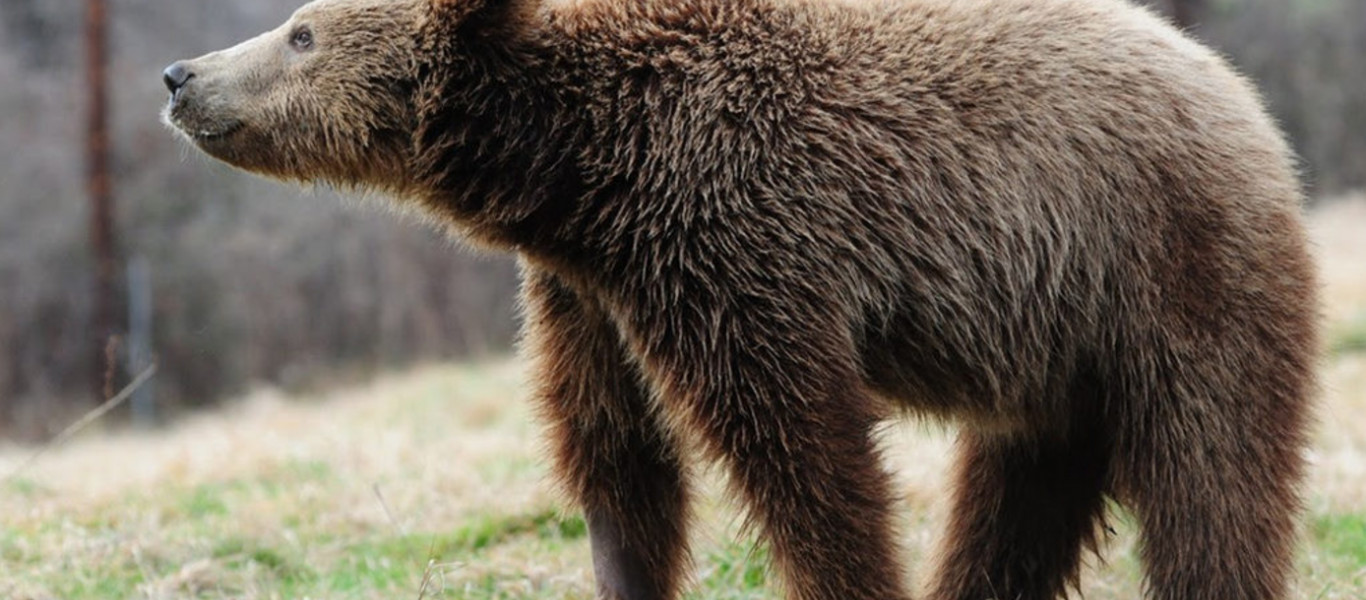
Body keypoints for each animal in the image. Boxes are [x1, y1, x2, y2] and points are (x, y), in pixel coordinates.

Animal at [162, 0, 1322, 598]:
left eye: (302, 32)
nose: (181, 75)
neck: (578, 163)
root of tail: (1241, 97)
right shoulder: (585, 290)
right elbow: (616, 456)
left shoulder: (734, 236)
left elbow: (805, 459)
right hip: (1052, 362)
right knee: (1013, 509)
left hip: (1166, 275)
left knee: (1211, 482)